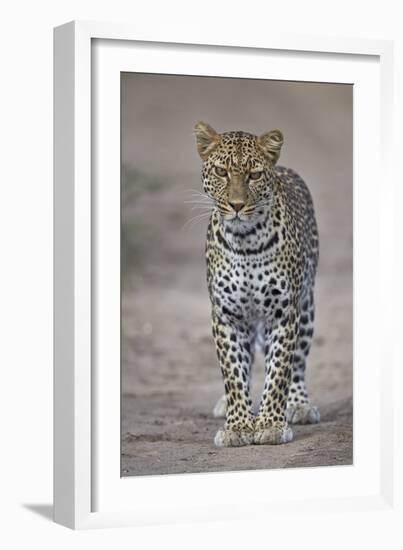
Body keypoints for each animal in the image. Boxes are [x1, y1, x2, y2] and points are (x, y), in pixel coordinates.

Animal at [194, 121, 320, 448]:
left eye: (254, 174)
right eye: (221, 171)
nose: (237, 205)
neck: (245, 240)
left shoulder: (284, 314)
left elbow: (279, 373)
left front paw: (271, 425)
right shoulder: (226, 316)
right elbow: (233, 373)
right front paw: (238, 425)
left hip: (307, 306)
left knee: (298, 364)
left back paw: (298, 405)